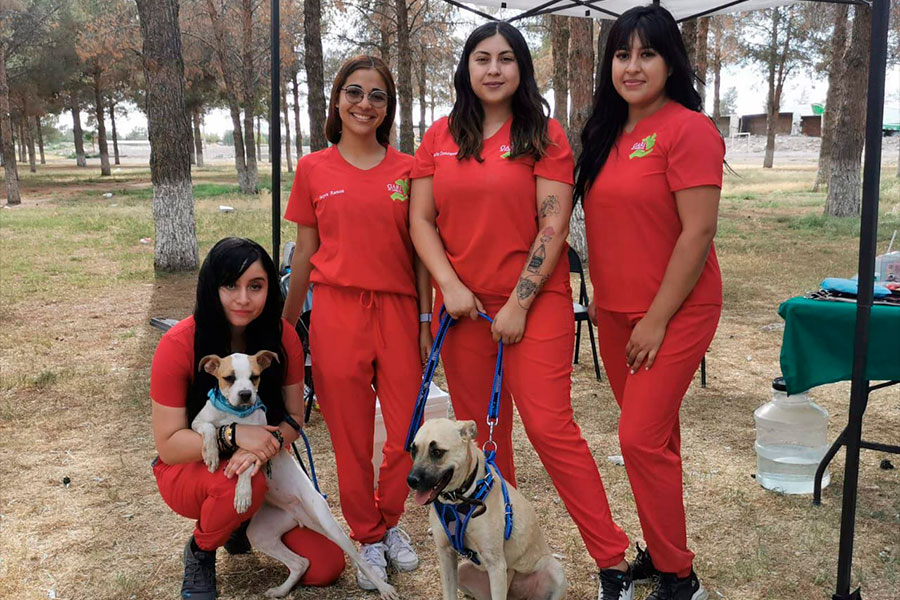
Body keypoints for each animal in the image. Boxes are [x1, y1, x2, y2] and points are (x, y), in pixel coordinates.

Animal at [192, 351, 399, 599]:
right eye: (229, 378)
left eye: (254, 377)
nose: (245, 394)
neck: (235, 414)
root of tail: (300, 514)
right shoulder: (197, 422)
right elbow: (209, 429)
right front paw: (211, 453)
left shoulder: (261, 442)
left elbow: (246, 459)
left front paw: (242, 493)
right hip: (261, 534)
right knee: (300, 563)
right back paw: (281, 590)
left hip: (329, 525)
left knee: (359, 560)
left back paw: (384, 587)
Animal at [407, 418, 567, 600]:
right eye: (413, 450)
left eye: (437, 452)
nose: (411, 480)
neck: (458, 500)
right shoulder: (446, 555)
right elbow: (449, 593)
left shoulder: (496, 565)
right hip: (464, 571)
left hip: (555, 572)